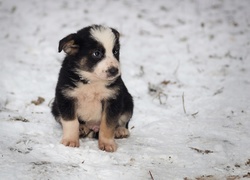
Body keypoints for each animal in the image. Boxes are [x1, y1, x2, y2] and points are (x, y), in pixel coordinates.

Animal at [50, 24, 133, 153]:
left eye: (115, 51)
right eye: (97, 53)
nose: (114, 70)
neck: (92, 80)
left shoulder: (113, 99)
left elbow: (108, 125)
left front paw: (107, 143)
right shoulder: (65, 97)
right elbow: (71, 122)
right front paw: (70, 140)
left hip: (128, 102)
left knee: (123, 121)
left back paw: (120, 130)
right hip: (55, 106)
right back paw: (82, 128)